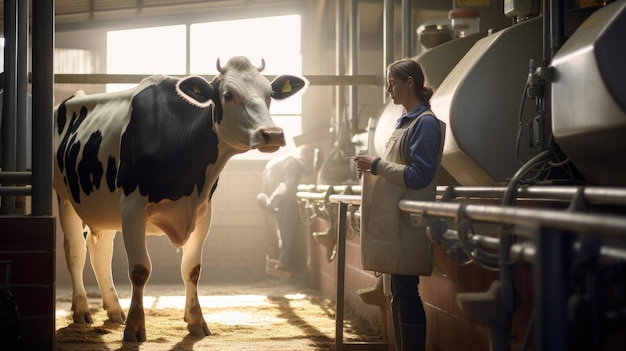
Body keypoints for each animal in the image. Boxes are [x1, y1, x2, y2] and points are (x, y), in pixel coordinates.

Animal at [53, 56, 308, 342]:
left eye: (269, 94)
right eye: (227, 95)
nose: (272, 134)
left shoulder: (203, 211)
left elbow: (191, 269)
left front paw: (196, 321)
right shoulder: (132, 206)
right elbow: (140, 269)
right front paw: (135, 327)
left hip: (104, 207)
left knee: (100, 251)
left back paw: (115, 310)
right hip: (64, 197)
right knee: (76, 251)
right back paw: (82, 310)